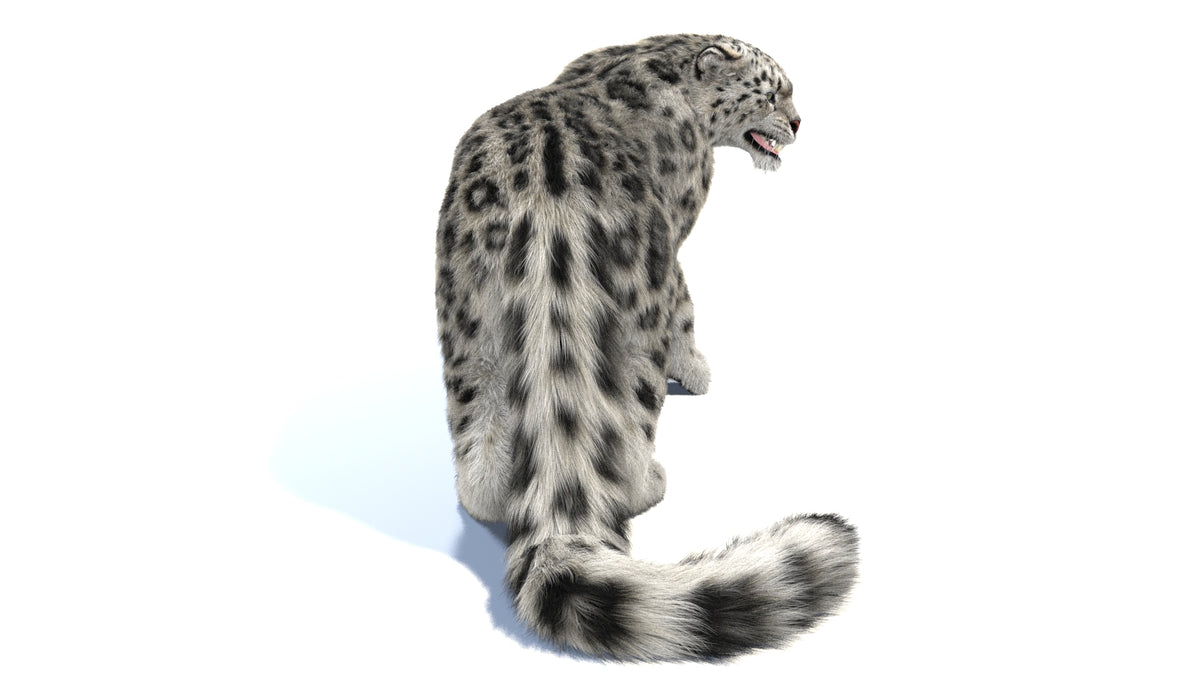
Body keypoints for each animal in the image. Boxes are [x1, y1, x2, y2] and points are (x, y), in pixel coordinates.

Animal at [435, 34, 858, 661]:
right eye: (773, 92)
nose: (800, 122)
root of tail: (547, 233)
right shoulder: (678, 227)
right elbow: (687, 306)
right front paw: (699, 371)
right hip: (637, 330)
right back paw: (650, 479)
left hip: (467, 328)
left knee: (478, 441)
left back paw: (482, 491)